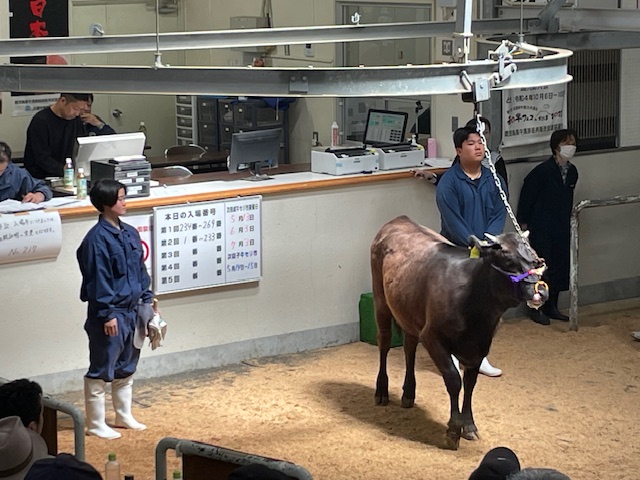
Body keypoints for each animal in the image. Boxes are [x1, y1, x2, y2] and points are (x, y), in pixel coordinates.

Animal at [370, 215, 548, 450]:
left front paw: (469, 426)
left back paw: (408, 393)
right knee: (384, 342)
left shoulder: (480, 346)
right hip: (381, 301)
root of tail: (400, 219)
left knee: (409, 348)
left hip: (409, 311)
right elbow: (454, 381)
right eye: (508, 260)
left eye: (536, 260)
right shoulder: (432, 337)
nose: (541, 292)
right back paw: (381, 391)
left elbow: (470, 385)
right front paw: (454, 429)